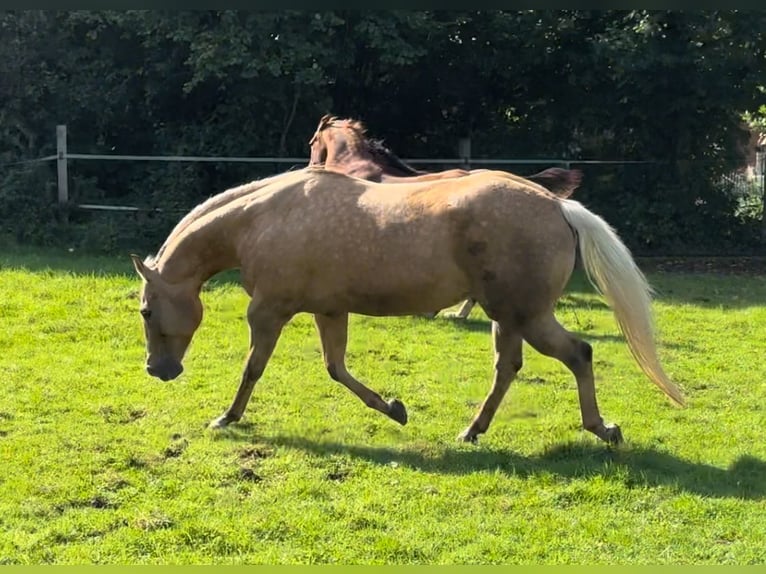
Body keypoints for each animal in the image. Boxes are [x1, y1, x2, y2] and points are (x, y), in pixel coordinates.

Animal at [131, 166, 684, 446]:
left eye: (146, 312)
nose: (158, 370)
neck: (262, 219)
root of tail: (557, 205)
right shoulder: (329, 311)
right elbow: (337, 369)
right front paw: (395, 410)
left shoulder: (269, 311)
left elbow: (253, 368)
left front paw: (226, 418)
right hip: (507, 318)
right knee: (509, 367)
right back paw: (472, 431)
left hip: (526, 316)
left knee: (578, 354)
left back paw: (602, 429)